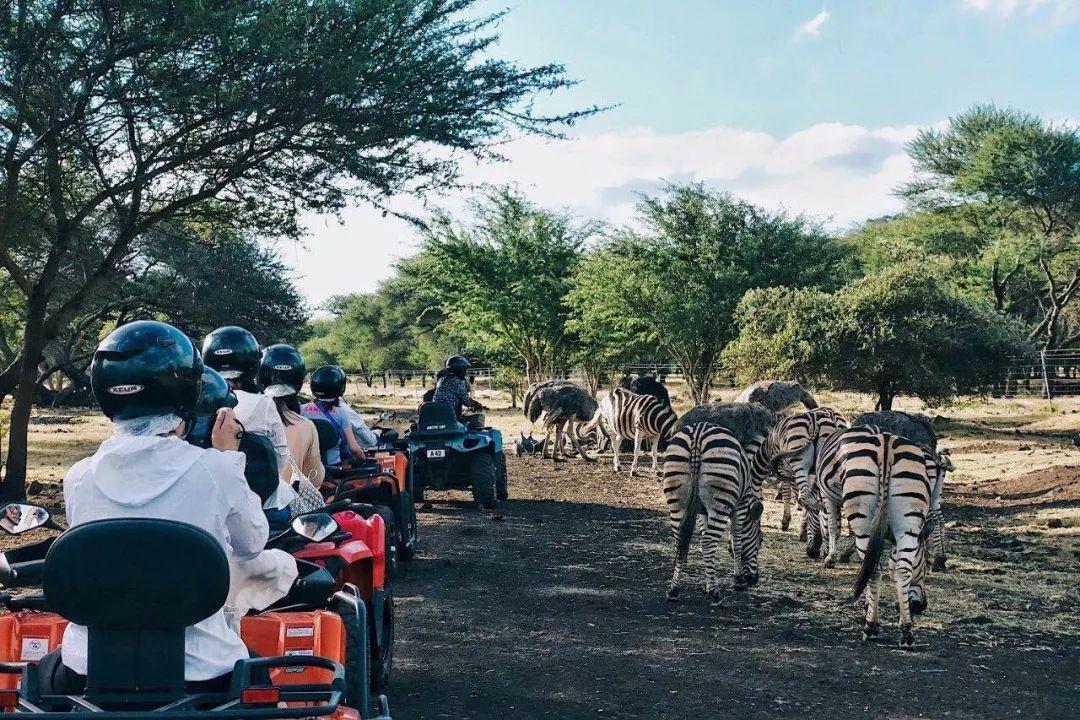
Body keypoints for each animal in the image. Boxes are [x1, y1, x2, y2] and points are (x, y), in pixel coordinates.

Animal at [660, 425, 764, 604]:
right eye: (759, 540)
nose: (754, 580)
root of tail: (697, 436)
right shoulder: (740, 507)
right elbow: (737, 542)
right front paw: (737, 580)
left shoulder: (701, 511)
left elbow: (704, 539)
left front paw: (707, 584)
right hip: (721, 500)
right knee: (708, 542)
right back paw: (716, 594)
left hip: (676, 499)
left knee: (679, 542)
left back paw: (674, 590)